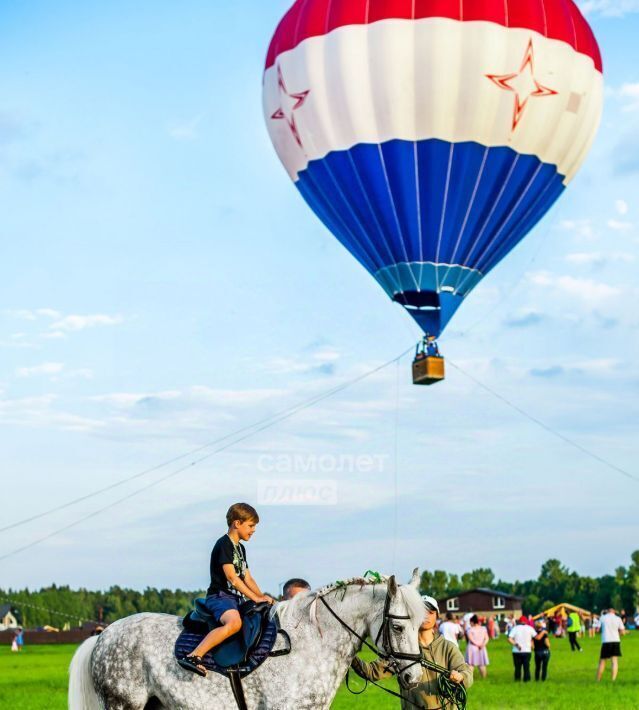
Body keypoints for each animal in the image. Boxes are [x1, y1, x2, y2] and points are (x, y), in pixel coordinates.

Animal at [69, 576, 424, 708]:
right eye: (397, 627)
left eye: (421, 625)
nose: (415, 676)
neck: (310, 645)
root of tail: (103, 635)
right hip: (124, 704)